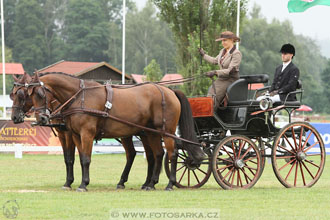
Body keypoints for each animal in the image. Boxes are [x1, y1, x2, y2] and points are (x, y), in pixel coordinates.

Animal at [10, 73, 158, 190]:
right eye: (12, 94)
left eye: (23, 94)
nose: (14, 117)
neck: (76, 99)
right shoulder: (68, 135)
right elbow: (73, 158)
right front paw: (70, 182)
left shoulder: (78, 134)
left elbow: (78, 158)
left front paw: (78, 183)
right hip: (132, 134)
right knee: (138, 154)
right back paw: (130, 182)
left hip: (146, 133)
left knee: (152, 155)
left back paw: (148, 183)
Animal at [27, 72, 204, 191]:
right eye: (30, 96)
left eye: (40, 94)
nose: (41, 118)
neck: (80, 97)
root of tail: (169, 91)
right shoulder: (76, 135)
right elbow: (79, 158)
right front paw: (73, 183)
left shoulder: (86, 134)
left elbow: (86, 159)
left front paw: (83, 184)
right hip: (151, 133)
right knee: (158, 154)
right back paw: (150, 184)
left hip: (167, 131)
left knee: (172, 154)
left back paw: (170, 184)